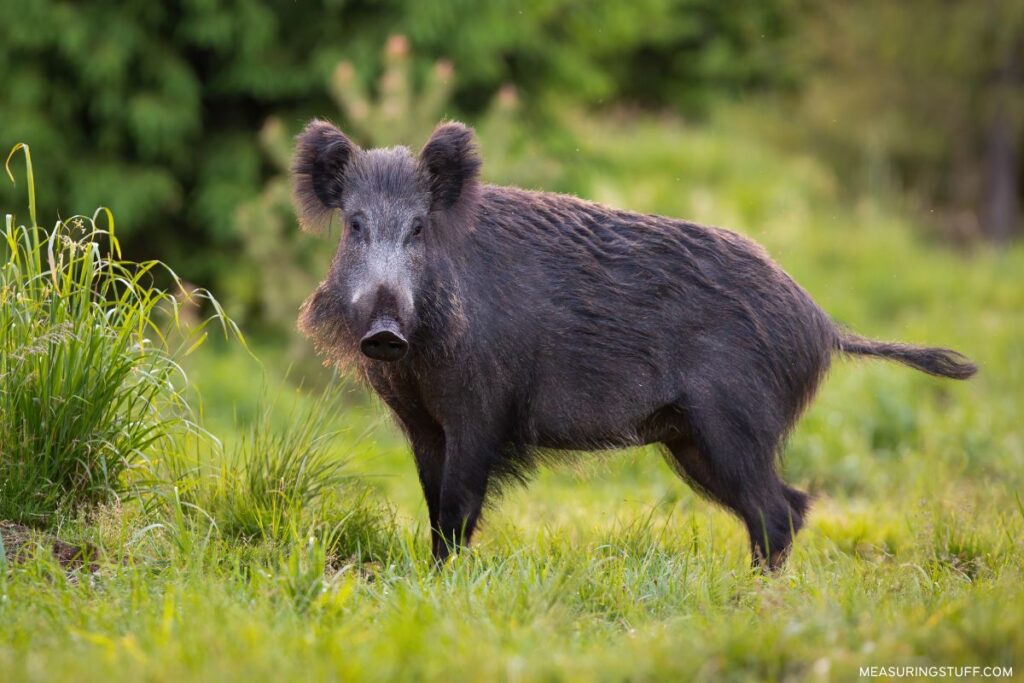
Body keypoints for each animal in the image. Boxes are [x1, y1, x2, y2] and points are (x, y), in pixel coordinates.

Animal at [292, 119, 976, 570]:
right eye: (355, 225)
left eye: (417, 228)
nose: (384, 331)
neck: (421, 363)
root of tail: (824, 324)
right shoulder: (421, 423)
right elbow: (435, 509)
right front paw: (432, 579)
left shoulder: (481, 410)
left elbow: (459, 508)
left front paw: (446, 586)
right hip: (692, 439)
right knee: (791, 504)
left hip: (734, 422)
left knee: (777, 511)